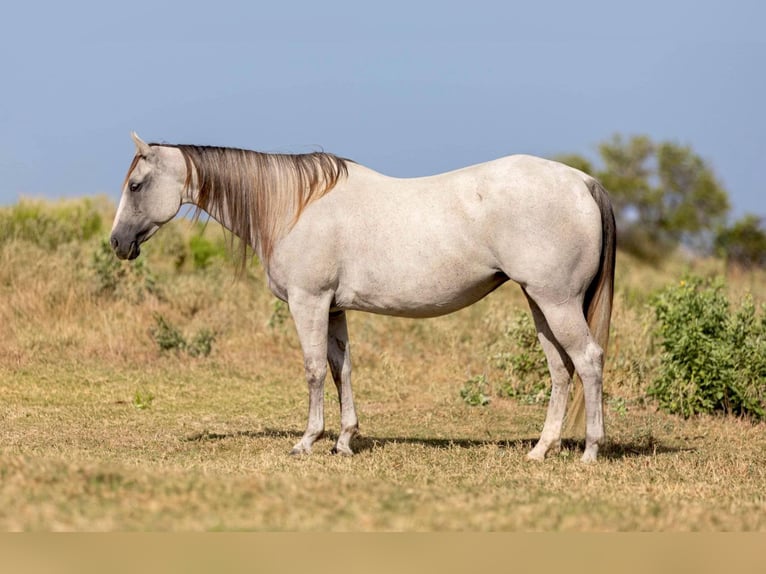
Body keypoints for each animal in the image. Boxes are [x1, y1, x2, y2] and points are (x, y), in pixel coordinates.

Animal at [111, 132, 616, 462]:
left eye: (136, 185)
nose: (117, 243)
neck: (294, 205)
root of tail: (582, 182)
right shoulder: (334, 308)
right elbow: (342, 370)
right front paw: (344, 441)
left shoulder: (309, 302)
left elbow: (314, 370)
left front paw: (308, 441)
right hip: (540, 303)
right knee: (561, 369)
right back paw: (541, 449)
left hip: (557, 302)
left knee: (588, 361)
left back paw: (590, 450)